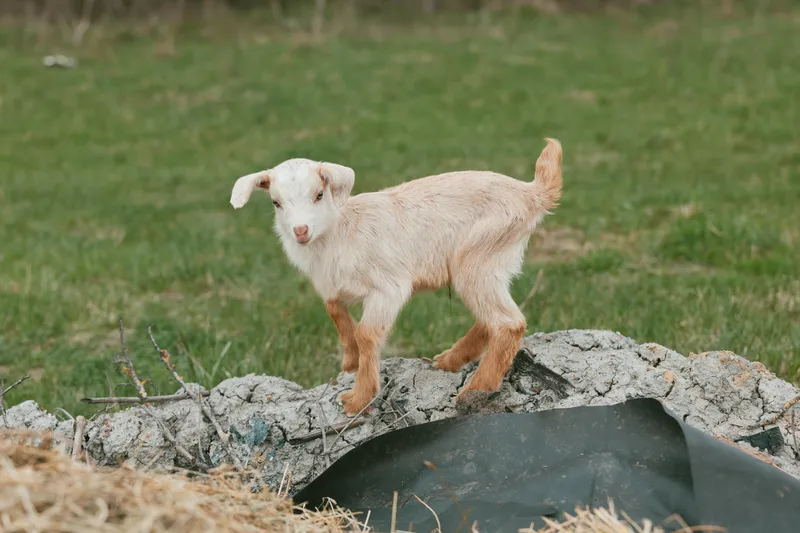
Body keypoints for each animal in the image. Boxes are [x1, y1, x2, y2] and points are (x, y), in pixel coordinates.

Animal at [229, 139, 563, 416]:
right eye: (275, 202)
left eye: (319, 194)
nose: (300, 231)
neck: (340, 230)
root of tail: (532, 194)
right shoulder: (333, 286)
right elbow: (334, 309)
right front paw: (350, 361)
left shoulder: (388, 287)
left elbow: (366, 333)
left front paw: (358, 399)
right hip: (490, 265)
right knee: (491, 318)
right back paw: (450, 360)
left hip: (478, 257)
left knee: (508, 323)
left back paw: (475, 389)